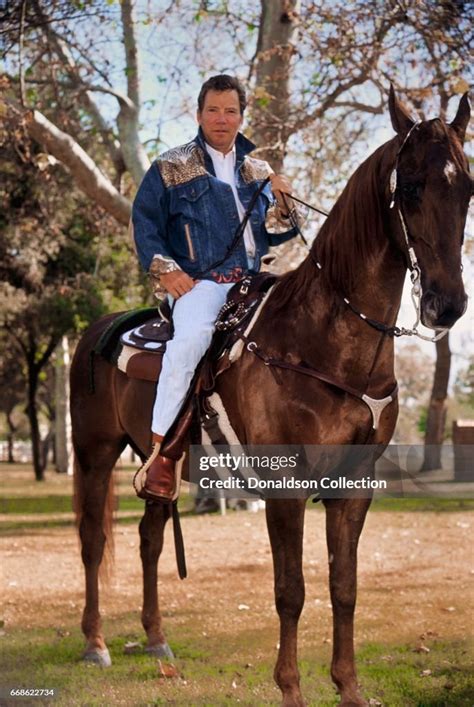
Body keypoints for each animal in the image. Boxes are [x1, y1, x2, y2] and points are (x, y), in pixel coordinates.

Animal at [70, 90, 470, 707]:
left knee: (149, 538)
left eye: (468, 188)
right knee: (94, 541)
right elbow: (292, 590)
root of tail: (99, 331)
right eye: (411, 187)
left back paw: (157, 639)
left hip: (159, 462)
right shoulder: (286, 487)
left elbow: (344, 586)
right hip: (94, 453)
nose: (446, 304)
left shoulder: (354, 486)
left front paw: (348, 687)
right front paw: (291, 688)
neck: (324, 338)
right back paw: (95, 644)